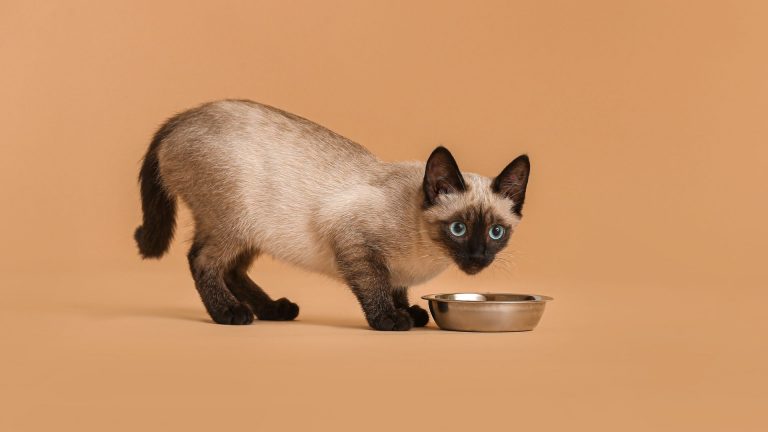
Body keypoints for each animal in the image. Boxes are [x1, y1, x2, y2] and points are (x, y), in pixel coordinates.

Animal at [135, 100, 528, 330]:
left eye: (495, 233)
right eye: (458, 228)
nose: (477, 257)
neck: (426, 254)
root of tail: (182, 117)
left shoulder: (393, 269)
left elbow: (396, 287)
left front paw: (410, 313)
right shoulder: (354, 242)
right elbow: (375, 286)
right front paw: (390, 318)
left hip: (252, 232)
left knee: (232, 269)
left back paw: (273, 309)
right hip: (233, 222)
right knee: (202, 261)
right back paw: (230, 314)